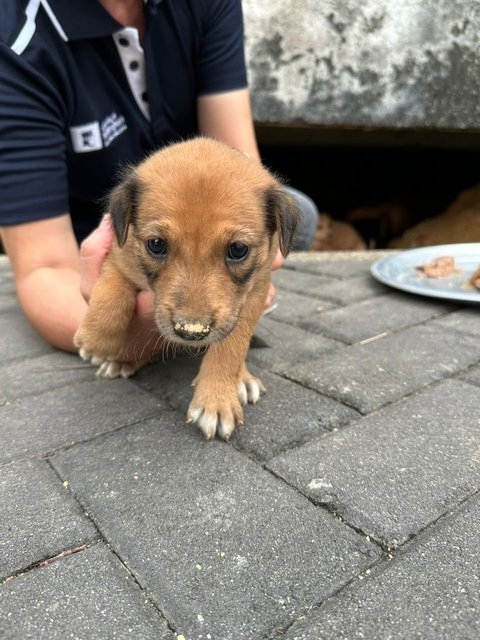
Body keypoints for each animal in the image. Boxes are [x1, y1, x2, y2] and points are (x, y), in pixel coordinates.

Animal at [73, 138, 298, 440]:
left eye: (238, 249)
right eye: (156, 244)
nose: (191, 333)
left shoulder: (255, 291)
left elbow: (232, 344)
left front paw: (216, 399)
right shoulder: (119, 254)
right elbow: (111, 287)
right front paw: (97, 339)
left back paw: (243, 379)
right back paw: (123, 362)